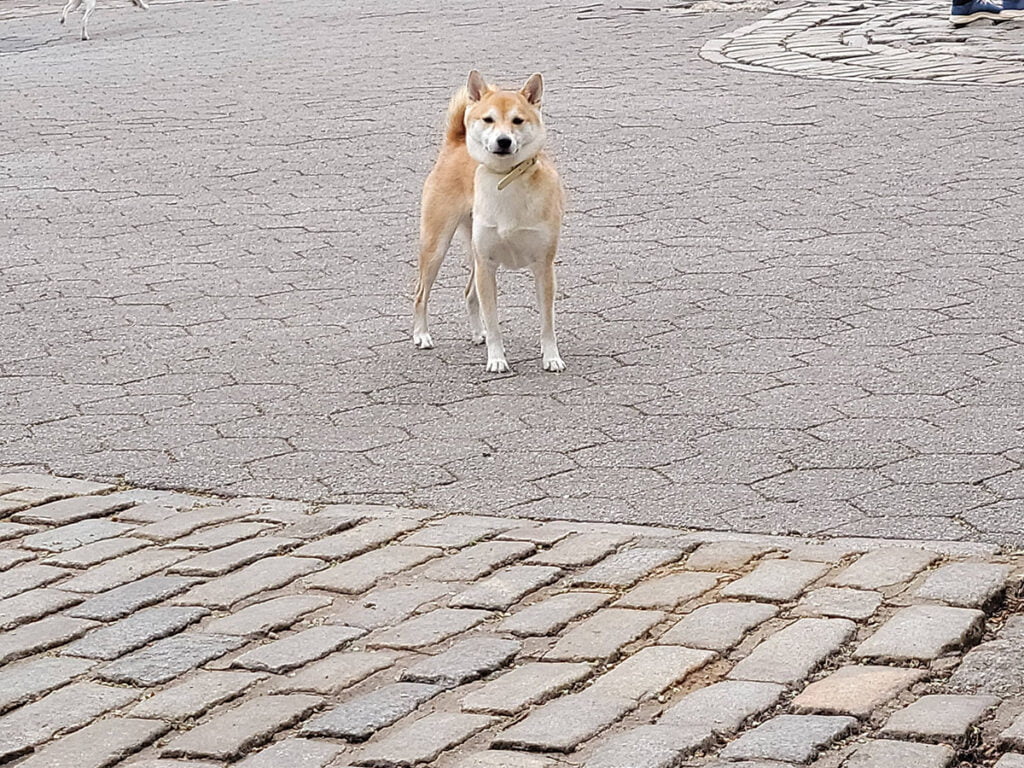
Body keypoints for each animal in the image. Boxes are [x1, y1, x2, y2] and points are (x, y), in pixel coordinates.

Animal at [409, 70, 569, 374]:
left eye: (518, 120)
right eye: (488, 119)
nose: (503, 141)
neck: (508, 180)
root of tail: (456, 142)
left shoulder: (543, 266)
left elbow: (548, 322)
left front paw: (551, 357)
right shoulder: (487, 264)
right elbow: (494, 321)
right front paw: (496, 359)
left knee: (469, 293)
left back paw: (476, 334)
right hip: (436, 247)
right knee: (421, 293)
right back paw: (422, 335)